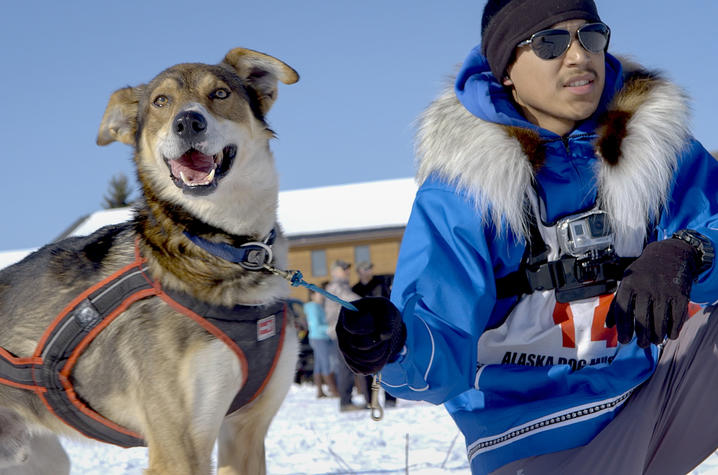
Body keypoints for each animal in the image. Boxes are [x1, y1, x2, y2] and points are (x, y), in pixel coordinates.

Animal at [0, 45, 300, 475]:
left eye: (220, 93)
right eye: (161, 101)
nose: (187, 121)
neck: (226, 248)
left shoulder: (246, 434)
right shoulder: (178, 450)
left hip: (42, 459)